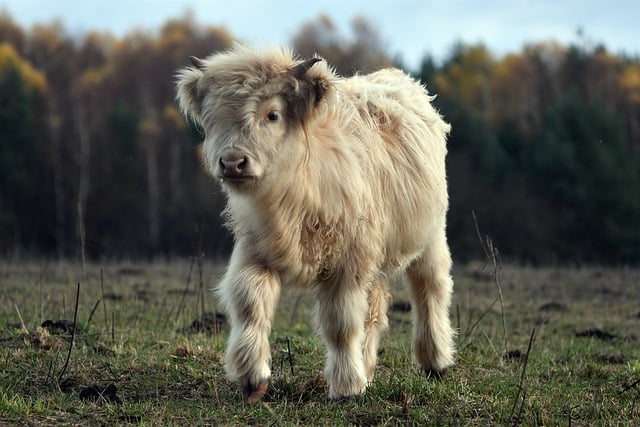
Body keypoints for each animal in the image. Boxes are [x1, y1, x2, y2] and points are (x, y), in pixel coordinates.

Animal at [176, 45, 455, 403]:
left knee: (430, 290)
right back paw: (368, 369)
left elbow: (341, 323)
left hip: (430, 236)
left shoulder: (347, 264)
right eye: (213, 118)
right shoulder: (255, 251)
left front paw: (347, 386)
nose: (232, 162)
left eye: (272, 115)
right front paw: (253, 377)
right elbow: (250, 304)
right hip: (377, 255)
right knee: (376, 310)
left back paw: (436, 361)